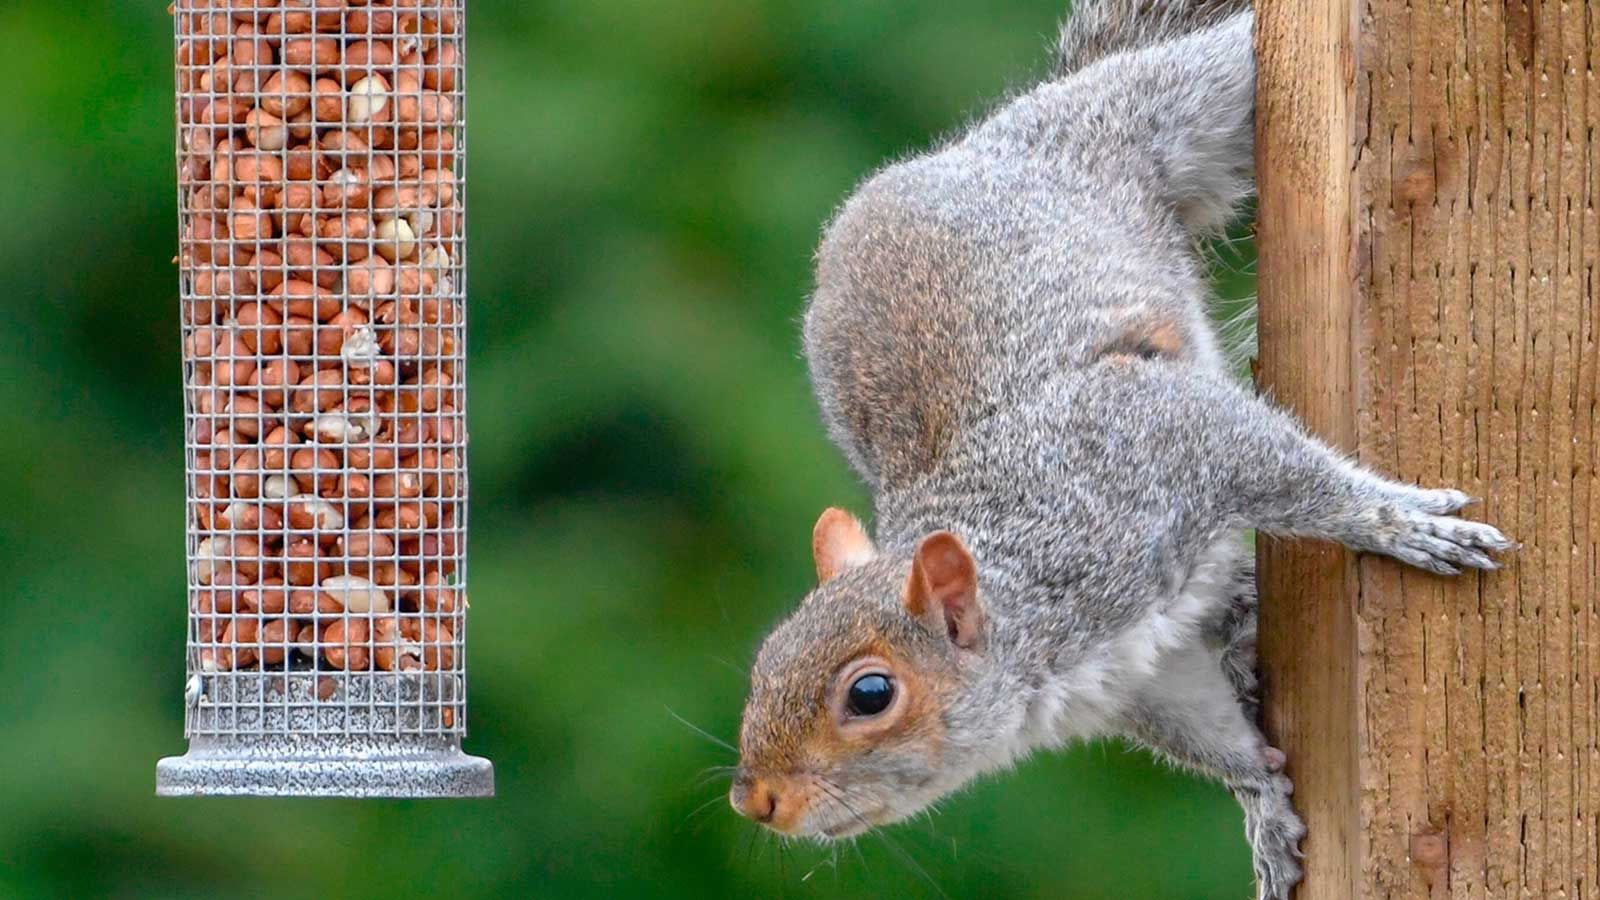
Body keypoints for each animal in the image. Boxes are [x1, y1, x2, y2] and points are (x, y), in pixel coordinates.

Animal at [728, 1, 1516, 898]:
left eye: (869, 693)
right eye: (763, 663)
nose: (756, 801)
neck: (1033, 600)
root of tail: (986, 138)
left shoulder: (1147, 440)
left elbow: (1289, 472)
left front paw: (1399, 522)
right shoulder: (1141, 673)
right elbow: (1211, 733)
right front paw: (1264, 808)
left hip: (1169, 110)